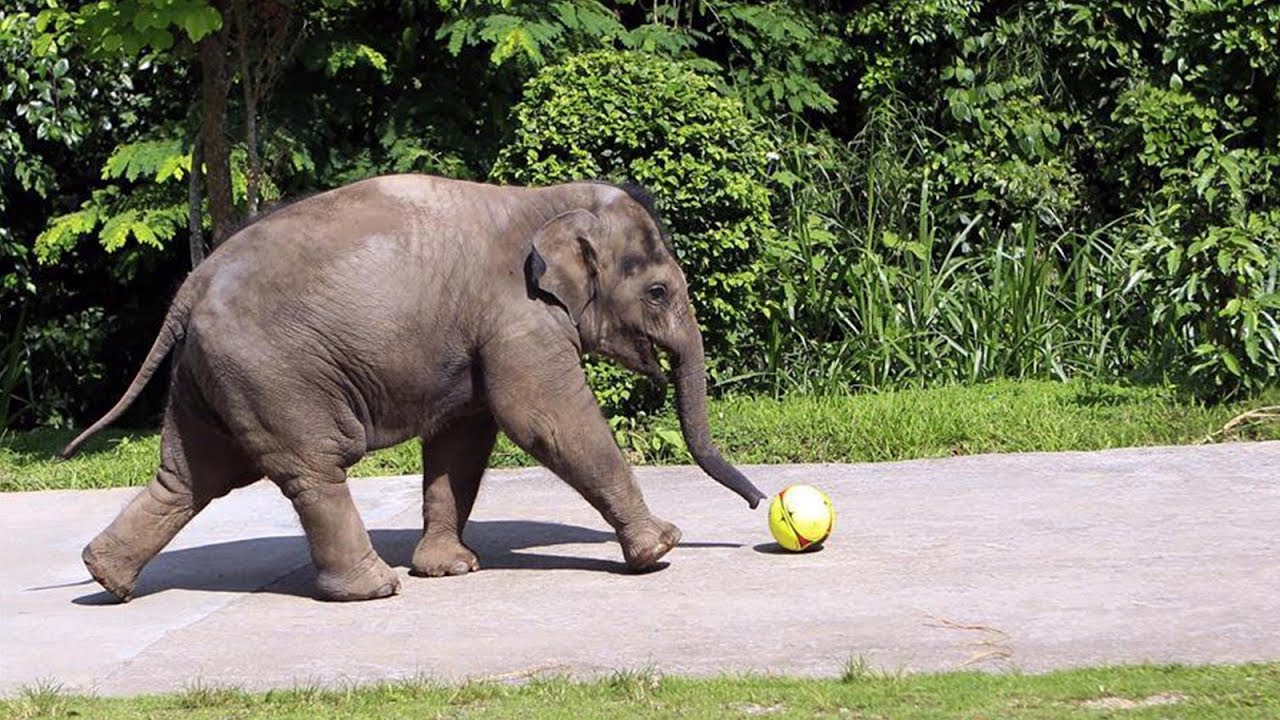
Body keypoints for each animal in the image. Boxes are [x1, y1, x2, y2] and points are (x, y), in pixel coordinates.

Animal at [61, 174, 766, 602]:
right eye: (658, 292)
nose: (761, 505)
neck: (545, 200)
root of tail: (190, 288)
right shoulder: (517, 316)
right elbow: (544, 419)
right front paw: (660, 549)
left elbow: (464, 437)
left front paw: (451, 570)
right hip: (269, 372)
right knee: (312, 466)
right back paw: (374, 589)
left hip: (209, 375)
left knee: (190, 476)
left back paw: (105, 579)